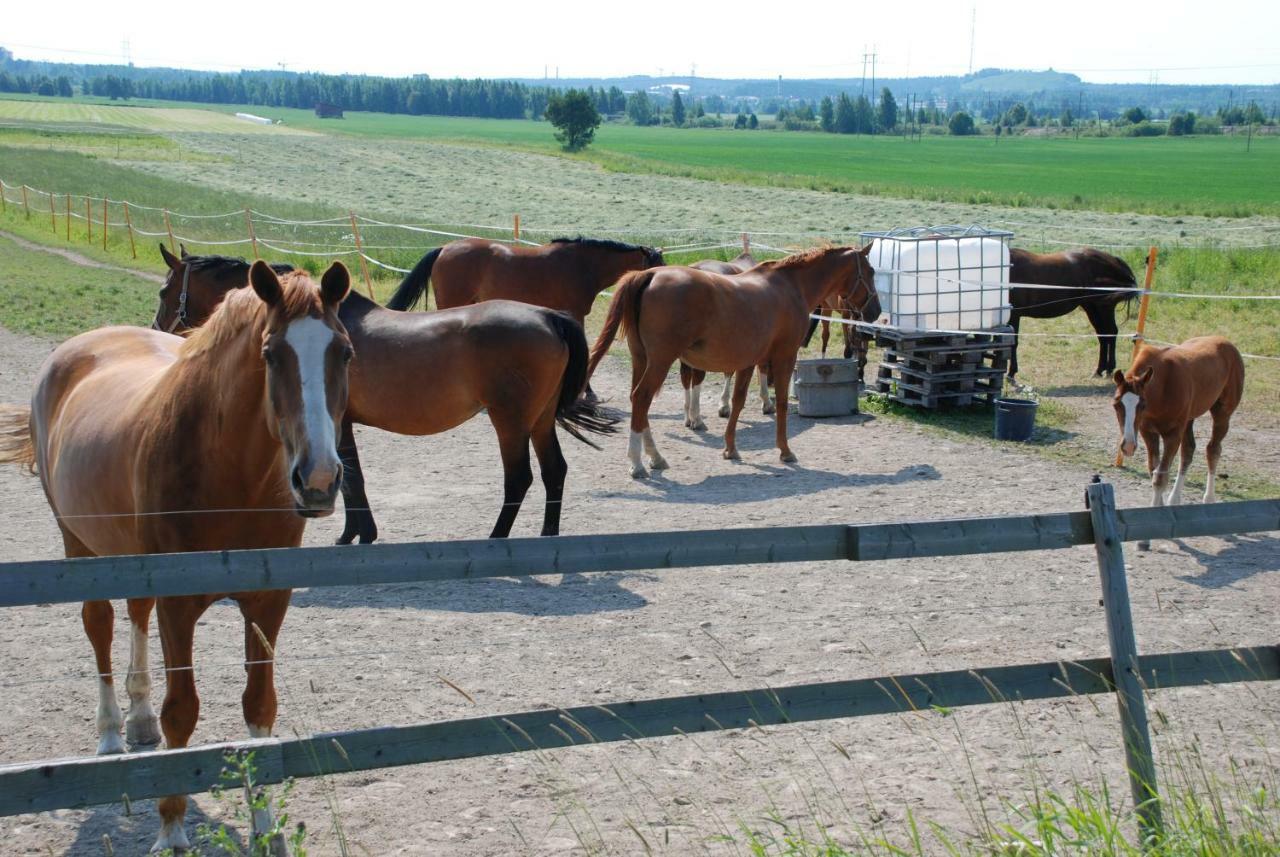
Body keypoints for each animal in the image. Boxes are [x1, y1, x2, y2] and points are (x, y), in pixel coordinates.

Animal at [0, 264, 353, 854]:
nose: (319, 479)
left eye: (344, 352)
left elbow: (259, 706)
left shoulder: (268, 602)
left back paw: (138, 721)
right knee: (99, 625)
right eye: (270, 354)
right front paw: (170, 827)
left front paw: (265, 828)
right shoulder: (179, 602)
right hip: (79, 546)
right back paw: (112, 732)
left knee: (135, 615)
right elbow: (182, 712)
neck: (228, 475)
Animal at [154, 245, 614, 547]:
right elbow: (352, 477)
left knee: (520, 478)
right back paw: (547, 536)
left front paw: (354, 534)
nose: (159, 328)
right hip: (539, 419)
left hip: (511, 422)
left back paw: (496, 537)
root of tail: (548, 317)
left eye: (163, 292)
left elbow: (352, 479)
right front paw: (358, 533)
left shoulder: (337, 424)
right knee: (555, 470)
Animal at [586, 245, 880, 480]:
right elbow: (782, 403)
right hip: (659, 361)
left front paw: (730, 448)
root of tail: (650, 275)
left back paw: (655, 457)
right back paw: (638, 464)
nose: (876, 311)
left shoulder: (748, 361)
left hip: (641, 359)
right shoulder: (784, 356)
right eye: (871, 271)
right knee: (641, 399)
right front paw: (785, 451)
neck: (790, 286)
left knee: (639, 403)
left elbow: (738, 402)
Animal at [1008, 250, 1141, 381]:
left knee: (1110, 333)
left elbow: (1013, 343)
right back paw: (1100, 371)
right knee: (1103, 335)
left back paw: (1109, 369)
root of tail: (1113, 259)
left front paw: (1011, 373)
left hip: (1104, 308)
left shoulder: (1014, 315)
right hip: (1093, 308)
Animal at [1111, 335, 1239, 511]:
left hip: (1222, 413)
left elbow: (1160, 477)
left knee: (1213, 450)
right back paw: (1174, 499)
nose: (1128, 446)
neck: (1163, 388)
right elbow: (1153, 469)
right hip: (1188, 420)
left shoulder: (1172, 435)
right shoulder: (1147, 432)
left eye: (1143, 405)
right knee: (1188, 452)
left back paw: (1209, 498)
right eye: (1116, 404)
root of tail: (1226, 342)